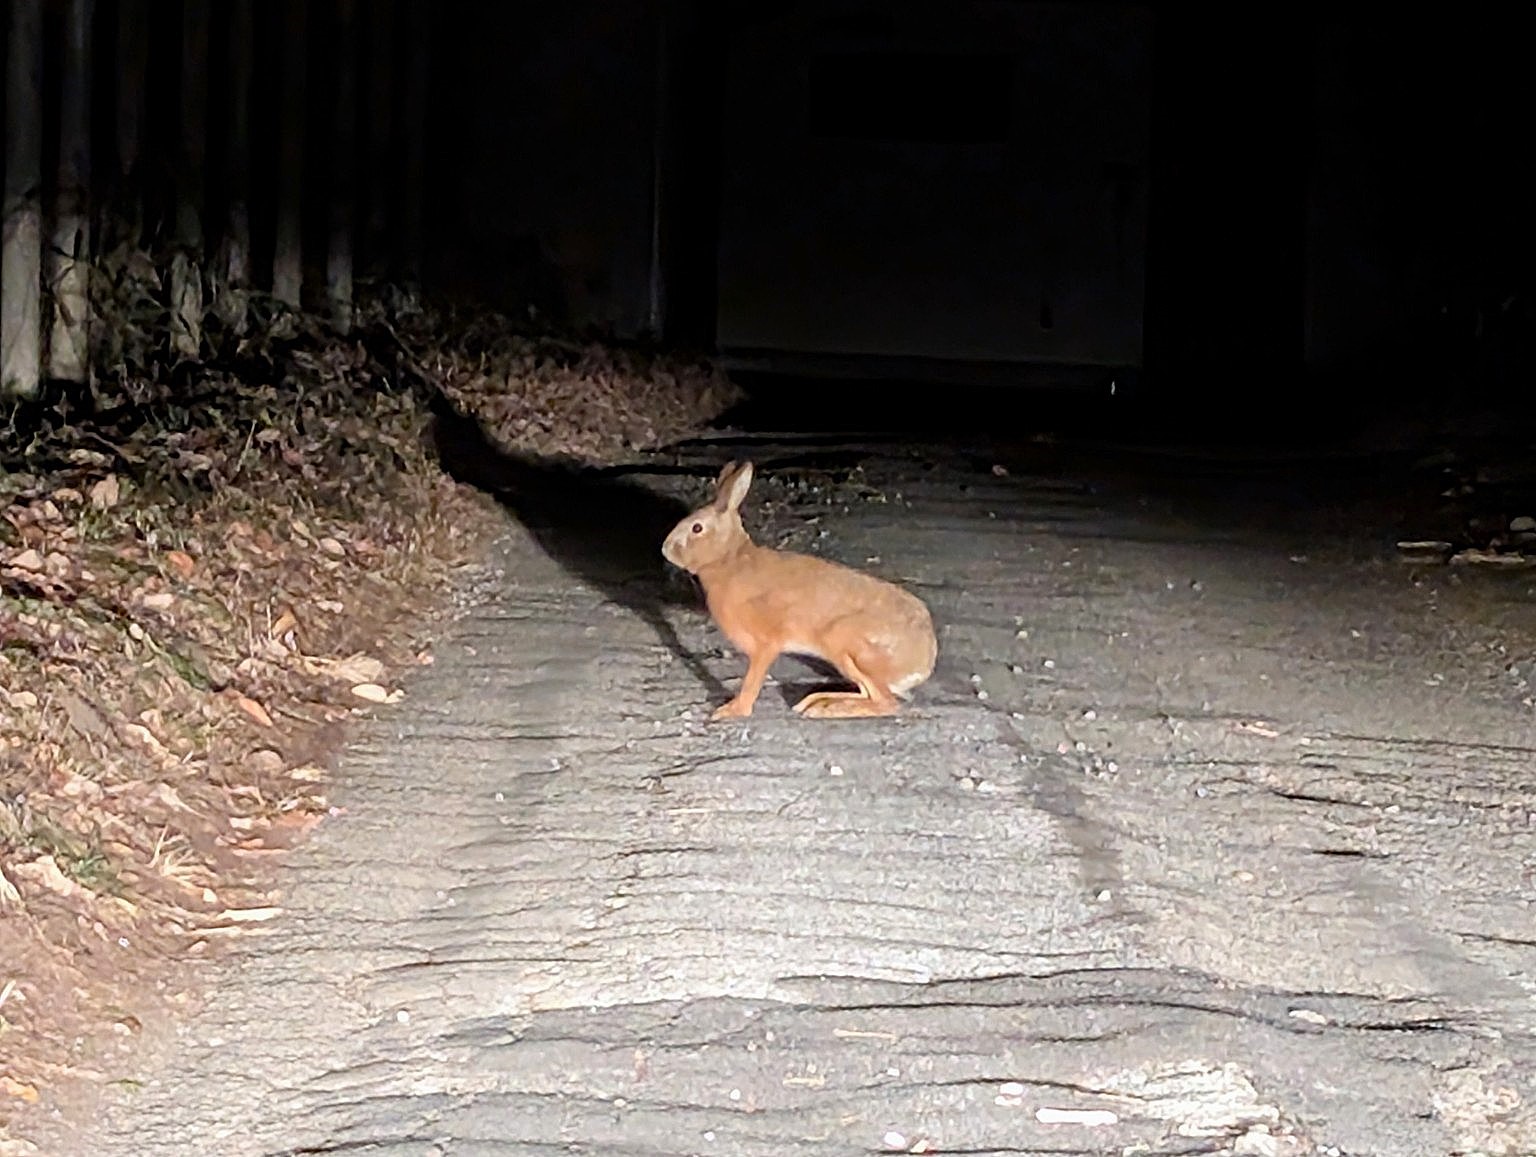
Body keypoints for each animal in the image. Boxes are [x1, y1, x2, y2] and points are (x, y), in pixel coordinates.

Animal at [662, 460, 937, 720]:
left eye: (697, 528)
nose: (665, 549)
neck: (730, 560)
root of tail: (924, 660)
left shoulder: (766, 645)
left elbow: (752, 680)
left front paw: (732, 711)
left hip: (846, 643)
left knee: (885, 702)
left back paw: (827, 709)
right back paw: (816, 702)